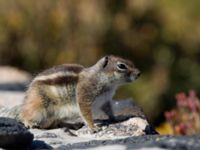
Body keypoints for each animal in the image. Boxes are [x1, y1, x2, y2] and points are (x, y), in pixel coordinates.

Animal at [0, 54, 141, 131]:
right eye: (121, 66)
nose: (139, 73)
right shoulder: (84, 96)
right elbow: (86, 113)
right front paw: (93, 127)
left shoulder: (105, 101)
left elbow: (109, 111)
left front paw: (116, 118)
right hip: (38, 107)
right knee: (24, 114)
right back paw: (28, 122)